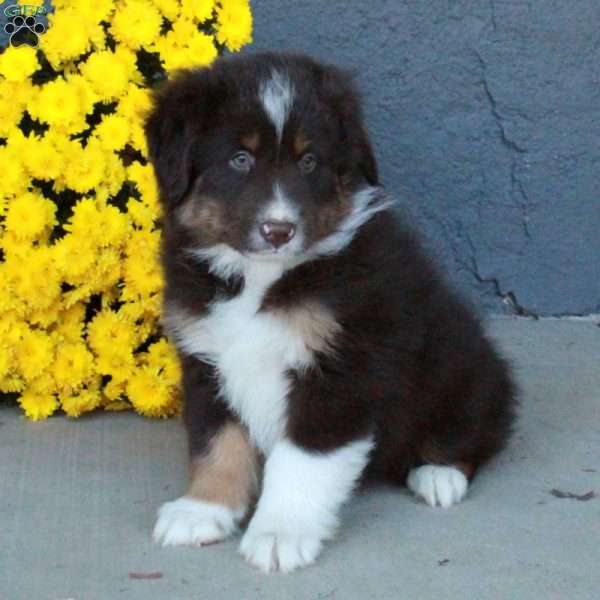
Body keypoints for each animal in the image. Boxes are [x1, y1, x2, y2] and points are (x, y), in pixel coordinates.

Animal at [144, 54, 516, 576]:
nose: (278, 230)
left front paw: (278, 534)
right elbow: (216, 442)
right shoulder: (207, 360)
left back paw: (439, 475)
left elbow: (301, 461)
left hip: (460, 368)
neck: (259, 280)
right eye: (240, 159)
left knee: (477, 430)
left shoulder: (341, 370)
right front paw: (203, 510)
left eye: (309, 161)